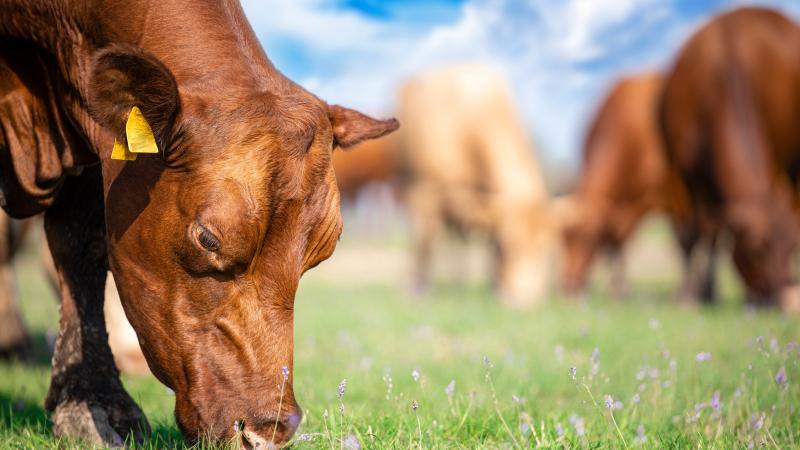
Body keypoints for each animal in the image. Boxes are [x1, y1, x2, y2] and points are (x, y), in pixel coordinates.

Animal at [560, 74, 716, 304]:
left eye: (587, 237)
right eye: (562, 239)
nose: (568, 286)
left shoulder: (678, 197)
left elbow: (686, 242)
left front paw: (686, 296)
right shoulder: (622, 208)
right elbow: (616, 245)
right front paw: (618, 292)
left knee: (712, 240)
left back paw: (709, 292)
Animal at [660, 7, 800, 312]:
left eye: (792, 248)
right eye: (755, 249)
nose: (777, 299)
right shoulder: (689, 175)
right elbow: (703, 232)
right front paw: (695, 295)